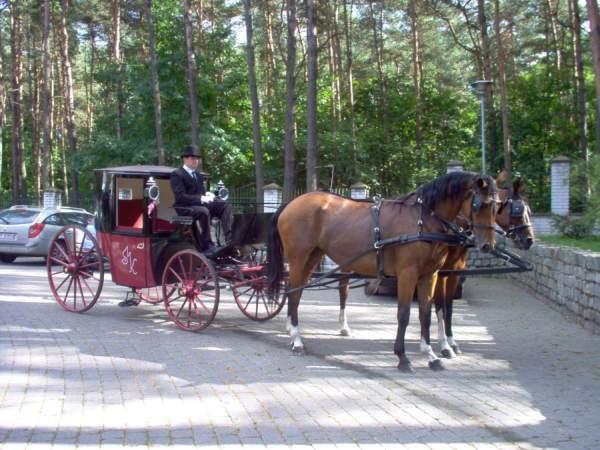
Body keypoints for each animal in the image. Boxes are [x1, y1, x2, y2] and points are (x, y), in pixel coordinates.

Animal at [268, 171, 496, 370]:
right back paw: (296, 339)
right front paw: (403, 357)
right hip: (298, 258)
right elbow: (404, 314)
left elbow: (425, 312)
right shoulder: (408, 274)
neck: (422, 220)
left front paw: (430, 354)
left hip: (312, 257)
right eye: (478, 205)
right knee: (294, 292)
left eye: (496, 206)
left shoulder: (429, 275)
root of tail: (292, 202)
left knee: (297, 292)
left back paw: (294, 332)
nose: (487, 245)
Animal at [434, 171, 536, 356]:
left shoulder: (454, 271)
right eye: (518, 211)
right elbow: (439, 305)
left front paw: (451, 341)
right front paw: (444, 345)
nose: (529, 240)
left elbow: (449, 306)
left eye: (529, 210)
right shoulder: (440, 272)